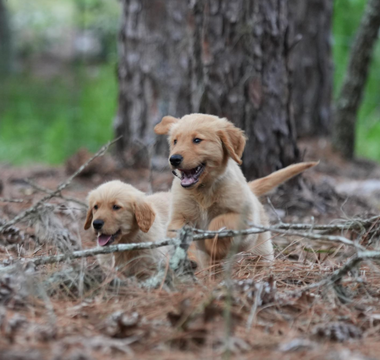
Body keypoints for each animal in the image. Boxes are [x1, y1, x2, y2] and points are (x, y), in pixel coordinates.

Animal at [155, 112, 318, 268]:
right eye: (175, 141)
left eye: (197, 140)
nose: (174, 159)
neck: (204, 190)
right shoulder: (179, 217)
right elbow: (179, 237)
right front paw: (187, 258)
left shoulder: (244, 216)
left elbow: (219, 221)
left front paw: (213, 246)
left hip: (260, 247)